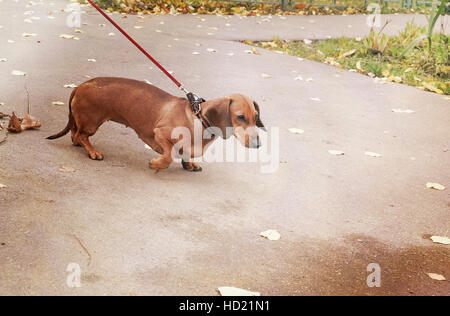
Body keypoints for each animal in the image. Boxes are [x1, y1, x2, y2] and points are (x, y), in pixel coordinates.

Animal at [48, 77, 268, 172]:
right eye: (240, 117)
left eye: (256, 116)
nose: (258, 145)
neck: (198, 120)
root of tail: (80, 85)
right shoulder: (160, 133)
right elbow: (169, 155)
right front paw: (156, 164)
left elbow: (185, 155)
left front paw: (189, 164)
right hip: (92, 122)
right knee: (80, 134)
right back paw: (93, 151)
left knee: (75, 133)